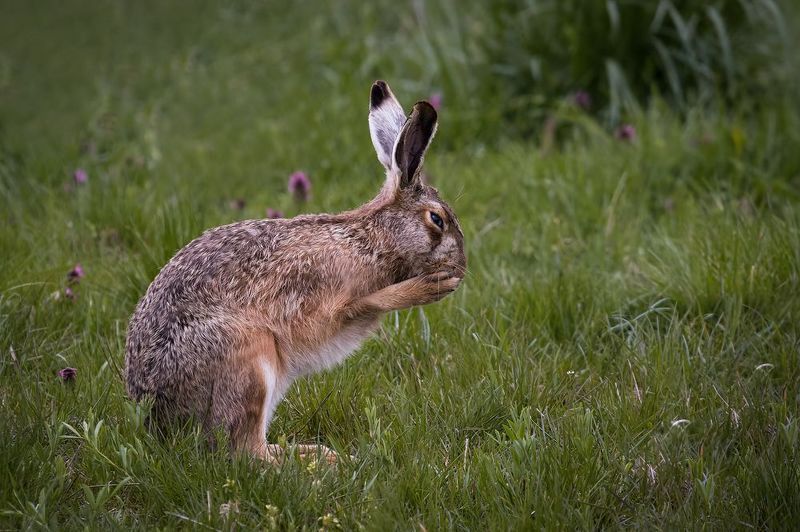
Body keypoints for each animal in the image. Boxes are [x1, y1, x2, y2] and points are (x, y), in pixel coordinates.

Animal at [124, 80, 466, 463]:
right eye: (437, 220)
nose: (462, 265)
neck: (371, 240)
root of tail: (156, 418)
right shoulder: (320, 300)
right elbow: (361, 305)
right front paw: (429, 287)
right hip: (249, 357)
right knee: (246, 452)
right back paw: (326, 462)